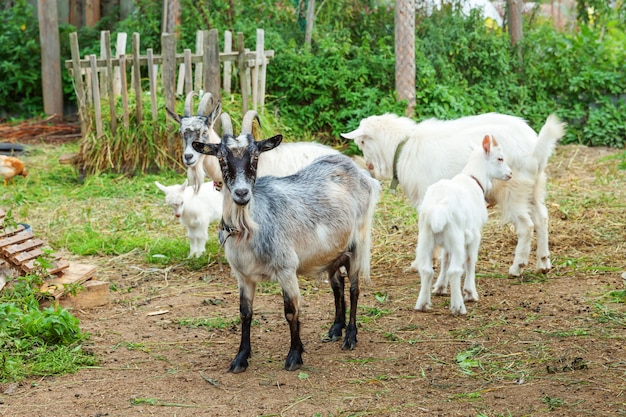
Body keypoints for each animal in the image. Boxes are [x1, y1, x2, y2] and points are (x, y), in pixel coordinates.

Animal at [190, 109, 378, 372]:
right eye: (221, 158)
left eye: (255, 156)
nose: (241, 193)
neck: (249, 229)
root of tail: (357, 170)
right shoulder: (243, 275)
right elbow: (245, 313)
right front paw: (240, 358)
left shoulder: (286, 269)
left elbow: (291, 311)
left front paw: (295, 355)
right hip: (331, 251)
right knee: (337, 284)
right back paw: (335, 329)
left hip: (358, 242)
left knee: (354, 288)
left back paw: (350, 336)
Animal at [342, 111, 564, 276]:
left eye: (362, 142)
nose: (369, 167)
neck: (402, 147)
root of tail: (535, 150)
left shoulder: (425, 197)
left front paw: (420, 263)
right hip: (534, 187)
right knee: (542, 218)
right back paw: (543, 263)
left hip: (512, 189)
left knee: (526, 226)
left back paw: (517, 267)